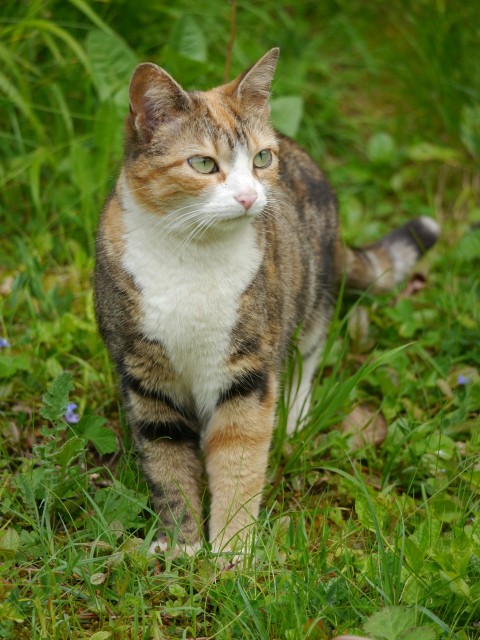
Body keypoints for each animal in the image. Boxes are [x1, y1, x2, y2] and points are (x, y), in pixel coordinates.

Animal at [93, 47, 438, 556]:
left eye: (260, 158)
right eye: (202, 164)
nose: (248, 196)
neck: (190, 257)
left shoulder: (246, 371)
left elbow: (239, 456)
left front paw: (232, 551)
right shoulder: (144, 376)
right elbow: (167, 463)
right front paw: (181, 546)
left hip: (312, 296)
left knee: (307, 355)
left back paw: (294, 417)